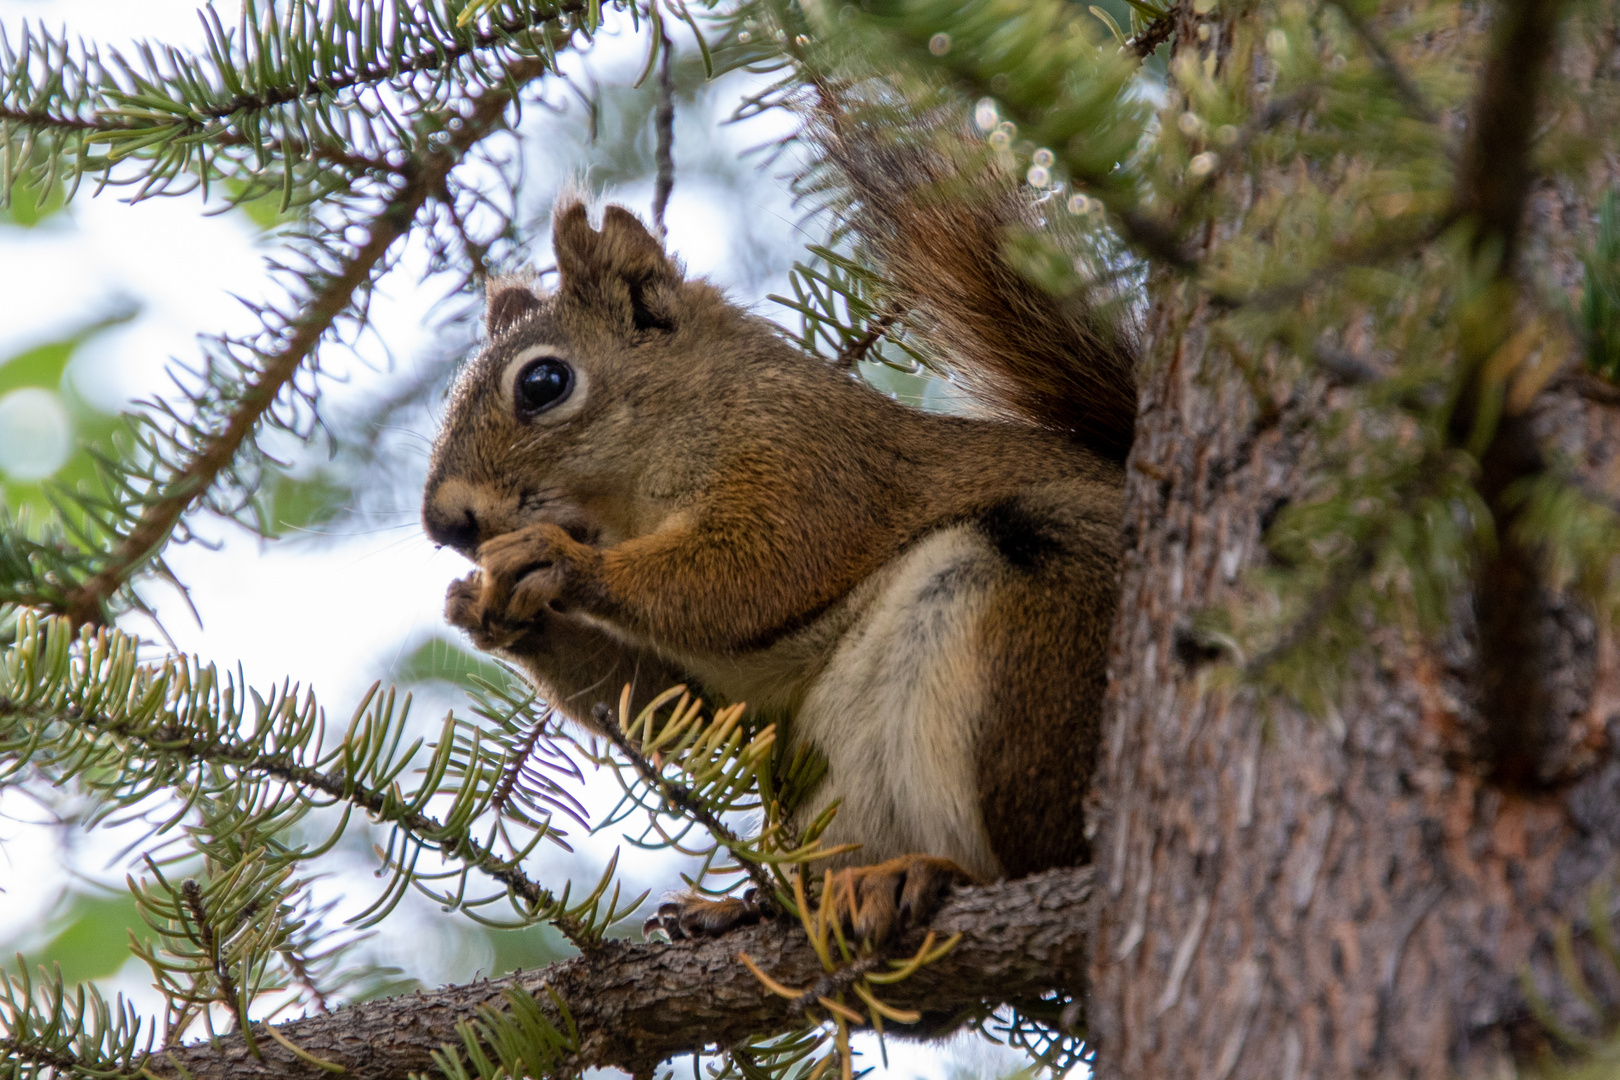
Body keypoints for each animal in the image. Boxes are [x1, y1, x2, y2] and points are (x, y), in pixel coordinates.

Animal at [424, 135, 1134, 945]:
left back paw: (921, 875)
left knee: (1033, 857)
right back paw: (747, 906)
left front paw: (559, 562)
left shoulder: (811, 460)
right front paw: (487, 613)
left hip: (1035, 633)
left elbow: (758, 573)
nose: (443, 524)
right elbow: (678, 704)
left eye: (543, 382)